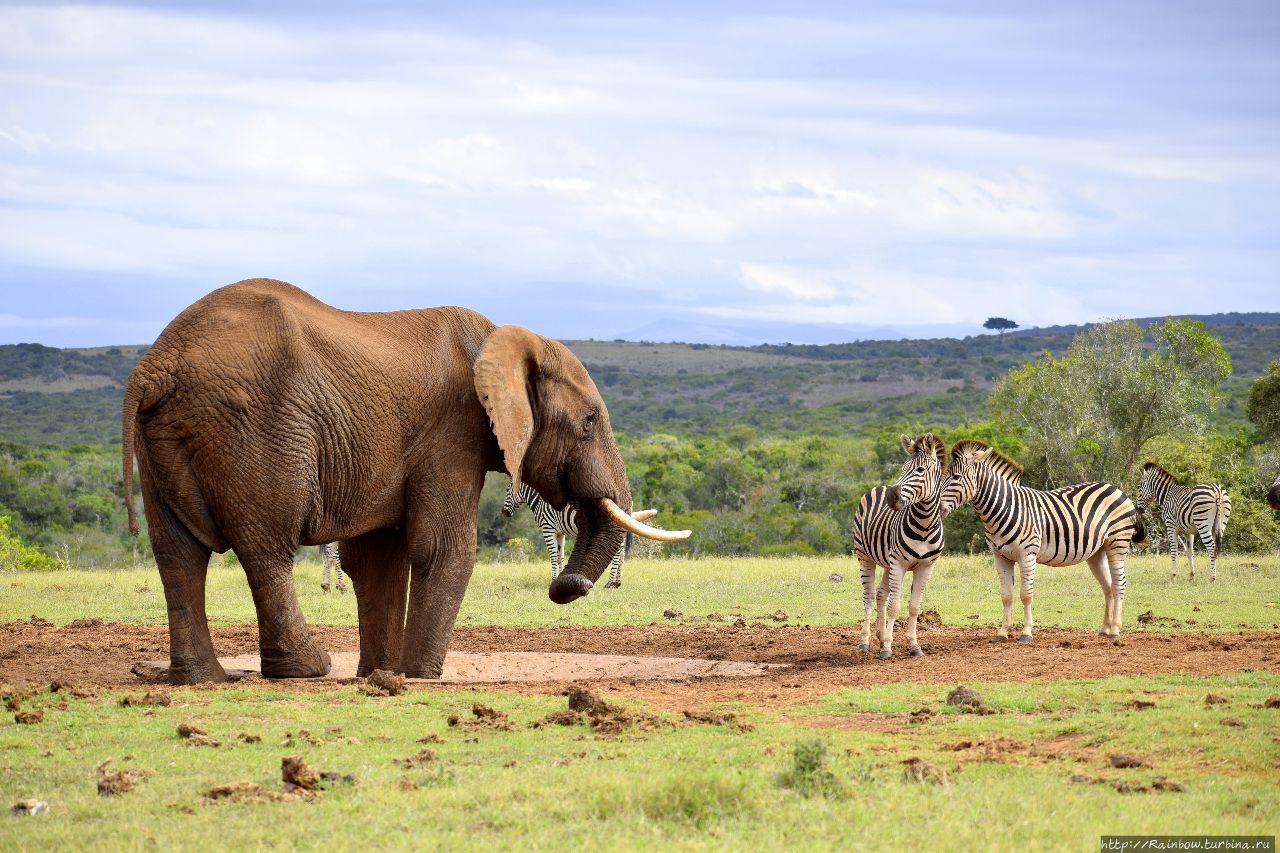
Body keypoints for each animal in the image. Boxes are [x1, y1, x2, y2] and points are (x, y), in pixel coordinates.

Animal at [122, 279, 691, 686]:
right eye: (590, 421)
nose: (563, 589)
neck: (498, 340)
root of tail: (155, 366)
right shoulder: (453, 431)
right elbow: (442, 547)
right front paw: (419, 677)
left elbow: (379, 561)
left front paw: (379, 676)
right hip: (256, 432)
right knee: (266, 549)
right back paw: (307, 669)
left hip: (166, 441)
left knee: (177, 556)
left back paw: (202, 679)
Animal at [849, 432, 952, 655]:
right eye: (903, 468)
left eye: (920, 470)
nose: (891, 497)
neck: (924, 526)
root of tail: (879, 486)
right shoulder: (899, 564)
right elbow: (894, 605)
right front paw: (888, 647)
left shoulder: (926, 566)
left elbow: (914, 606)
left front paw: (913, 644)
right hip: (865, 557)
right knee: (869, 596)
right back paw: (865, 642)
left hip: (887, 563)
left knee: (880, 594)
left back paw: (880, 637)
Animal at [936, 438, 1146, 637]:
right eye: (942, 476)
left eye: (956, 477)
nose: (937, 508)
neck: (1004, 509)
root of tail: (1116, 489)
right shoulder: (1000, 557)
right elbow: (1006, 595)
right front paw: (1003, 632)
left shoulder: (1027, 555)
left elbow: (1026, 594)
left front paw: (1026, 632)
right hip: (1097, 552)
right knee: (1108, 586)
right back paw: (1105, 629)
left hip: (1117, 543)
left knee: (1119, 584)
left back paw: (1115, 630)